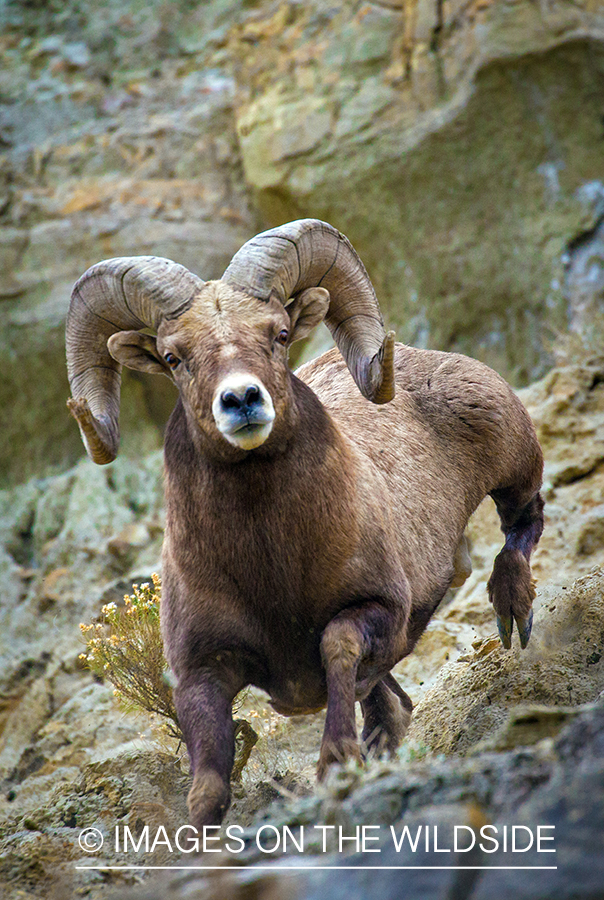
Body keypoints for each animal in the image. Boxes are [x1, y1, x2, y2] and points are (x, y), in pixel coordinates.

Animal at [66, 218, 544, 828]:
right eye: (174, 357)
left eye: (280, 332)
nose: (242, 399)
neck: (272, 569)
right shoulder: (200, 671)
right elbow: (207, 790)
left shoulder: (375, 610)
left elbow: (337, 648)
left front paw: (336, 764)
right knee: (393, 704)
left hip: (511, 456)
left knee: (523, 521)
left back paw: (512, 609)